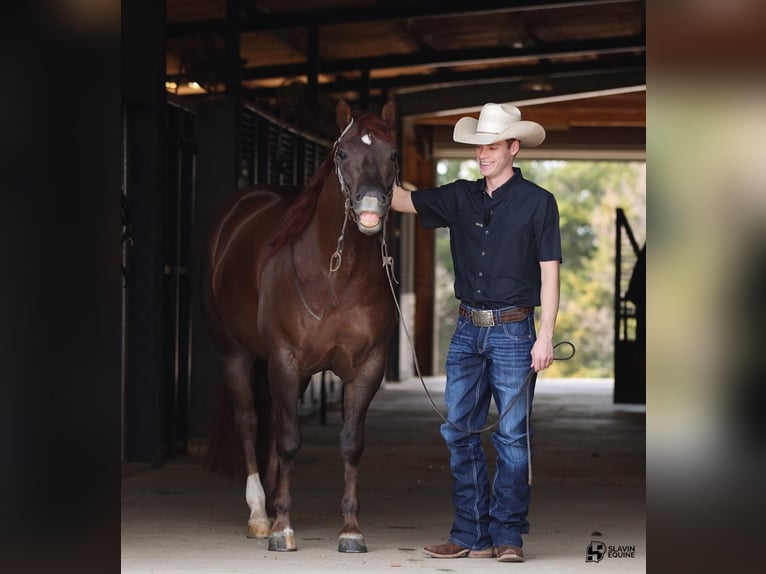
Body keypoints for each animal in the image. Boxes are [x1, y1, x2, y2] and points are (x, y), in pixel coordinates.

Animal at [202, 99, 399, 553]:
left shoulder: (367, 366)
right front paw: (281, 529)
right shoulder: (285, 359)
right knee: (250, 421)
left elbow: (351, 443)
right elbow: (289, 441)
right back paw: (260, 513)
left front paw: (350, 530)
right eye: (341, 154)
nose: (370, 207)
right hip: (235, 352)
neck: (336, 277)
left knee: (276, 419)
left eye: (394, 154)